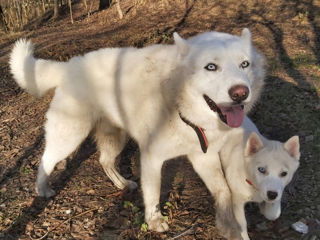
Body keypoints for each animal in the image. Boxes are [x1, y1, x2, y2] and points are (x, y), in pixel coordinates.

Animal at [9, 28, 264, 238]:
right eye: (211, 67)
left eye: (244, 64)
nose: (241, 93)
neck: (178, 103)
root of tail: (68, 66)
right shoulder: (151, 158)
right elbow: (153, 193)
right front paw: (155, 222)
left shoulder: (204, 157)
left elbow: (224, 191)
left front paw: (228, 226)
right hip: (70, 137)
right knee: (46, 160)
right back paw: (42, 189)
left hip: (116, 137)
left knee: (105, 161)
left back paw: (122, 184)